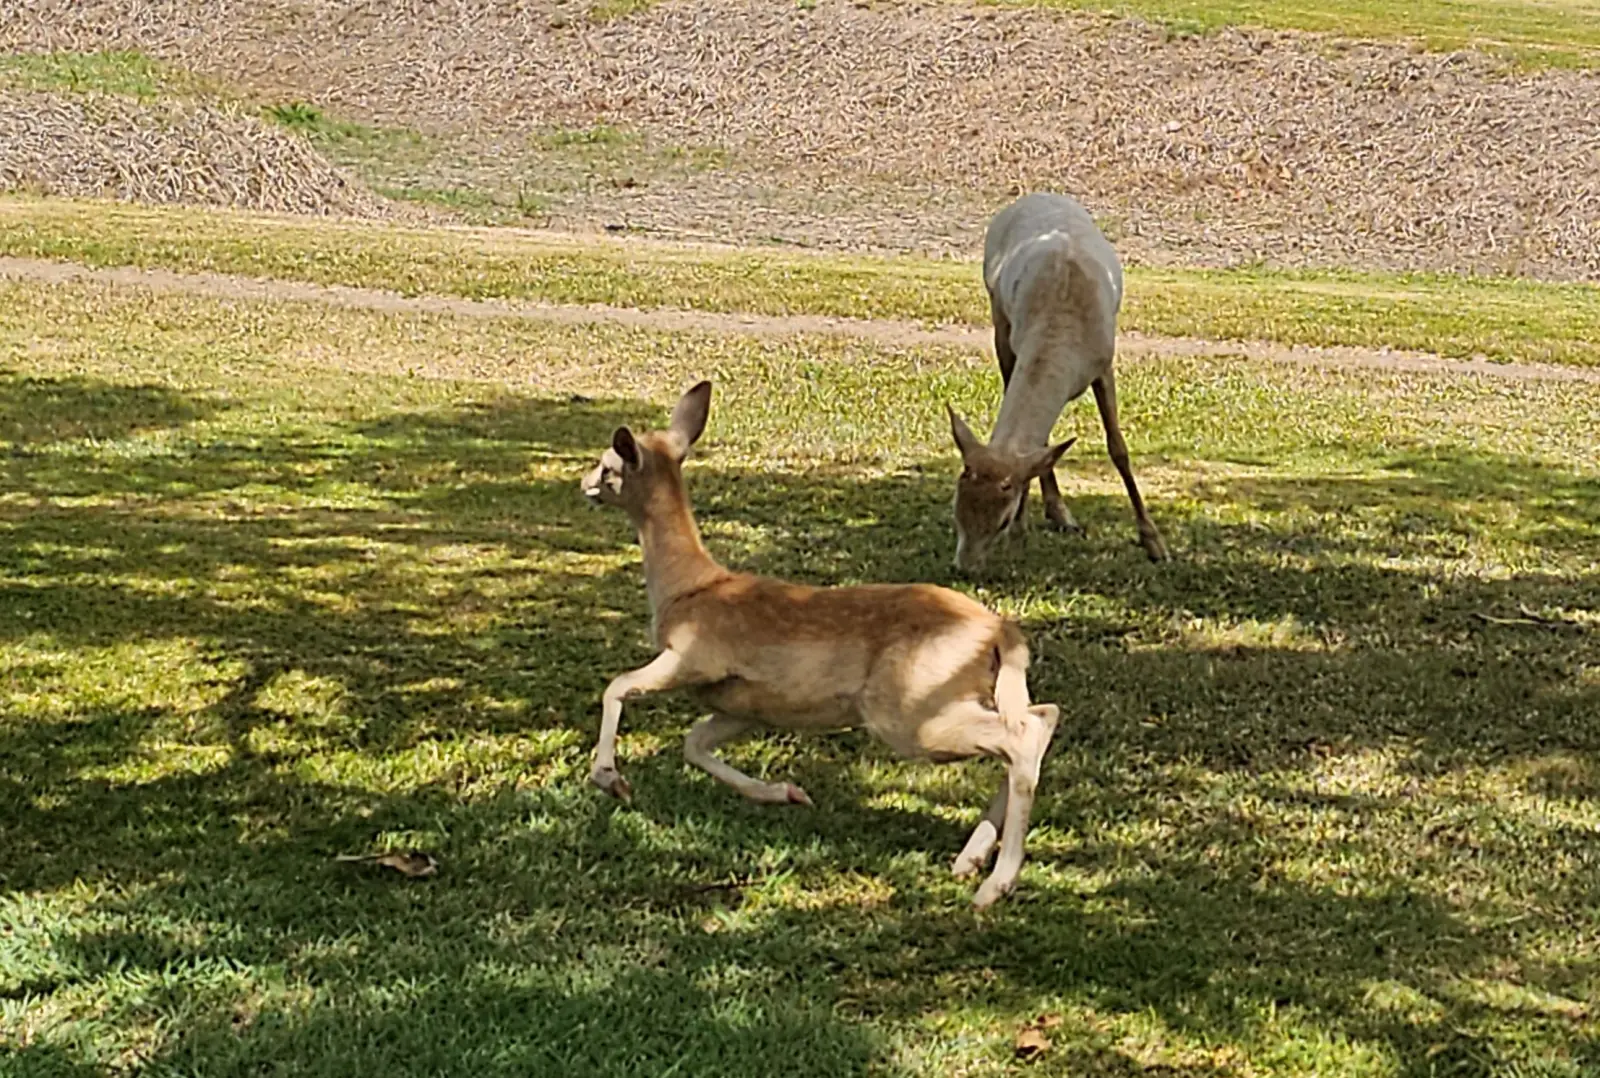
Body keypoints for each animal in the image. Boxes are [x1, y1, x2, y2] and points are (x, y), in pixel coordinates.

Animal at [580, 380, 1061, 908]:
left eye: (608, 463)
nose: (583, 484)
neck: (689, 589)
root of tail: (1001, 633)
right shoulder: (744, 703)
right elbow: (694, 743)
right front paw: (786, 793)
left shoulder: (695, 657)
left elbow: (618, 685)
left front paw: (611, 780)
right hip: (957, 695)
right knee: (1042, 716)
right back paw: (970, 860)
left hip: (909, 708)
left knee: (1020, 737)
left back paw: (995, 883)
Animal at [947, 192, 1168, 573]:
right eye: (955, 508)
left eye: (1001, 520)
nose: (965, 568)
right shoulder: (1014, 340)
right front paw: (1024, 532)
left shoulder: (1103, 361)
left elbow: (1118, 448)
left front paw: (1154, 543)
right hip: (998, 314)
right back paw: (1059, 512)